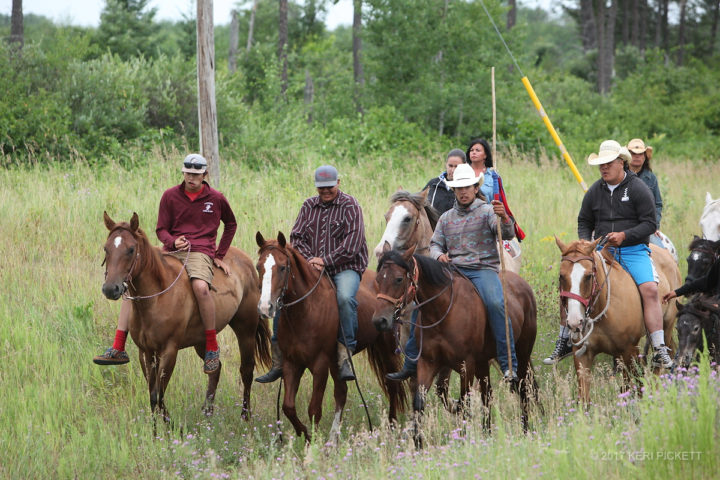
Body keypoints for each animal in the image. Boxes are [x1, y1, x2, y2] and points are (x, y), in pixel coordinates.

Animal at [100, 213, 270, 420]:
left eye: (131, 249)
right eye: (106, 248)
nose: (110, 289)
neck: (156, 297)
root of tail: (247, 262)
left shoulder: (169, 351)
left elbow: (158, 394)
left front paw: (169, 425)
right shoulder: (146, 352)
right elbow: (152, 395)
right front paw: (156, 427)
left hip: (245, 329)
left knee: (246, 370)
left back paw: (245, 416)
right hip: (201, 340)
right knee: (215, 369)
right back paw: (207, 412)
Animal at [256, 232, 408, 442]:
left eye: (282, 267)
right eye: (258, 267)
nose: (265, 307)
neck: (306, 310)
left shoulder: (320, 364)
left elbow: (314, 409)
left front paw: (313, 442)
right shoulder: (291, 363)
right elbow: (288, 407)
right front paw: (306, 435)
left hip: (386, 349)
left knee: (392, 384)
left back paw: (391, 426)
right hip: (338, 361)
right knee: (341, 392)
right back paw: (333, 438)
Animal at [374, 246, 536, 434]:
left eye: (399, 279)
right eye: (378, 278)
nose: (379, 320)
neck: (442, 310)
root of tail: (523, 286)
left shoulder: (467, 365)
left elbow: (464, 402)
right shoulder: (428, 363)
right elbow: (420, 403)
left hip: (521, 354)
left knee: (523, 390)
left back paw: (525, 430)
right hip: (483, 363)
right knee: (487, 394)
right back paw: (487, 432)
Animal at [556, 238, 680, 404]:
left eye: (588, 276)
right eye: (561, 276)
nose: (575, 322)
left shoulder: (628, 351)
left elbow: (631, 387)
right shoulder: (582, 354)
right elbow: (584, 398)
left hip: (667, 326)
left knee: (658, 364)